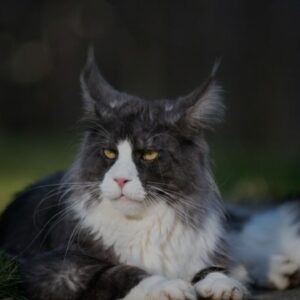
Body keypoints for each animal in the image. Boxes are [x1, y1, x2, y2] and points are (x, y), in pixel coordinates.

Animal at [0, 48, 298, 298]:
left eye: (149, 154)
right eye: (109, 153)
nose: (121, 179)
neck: (143, 222)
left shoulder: (197, 249)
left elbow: (210, 266)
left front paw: (222, 284)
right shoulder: (52, 267)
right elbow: (118, 271)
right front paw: (166, 287)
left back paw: (280, 268)